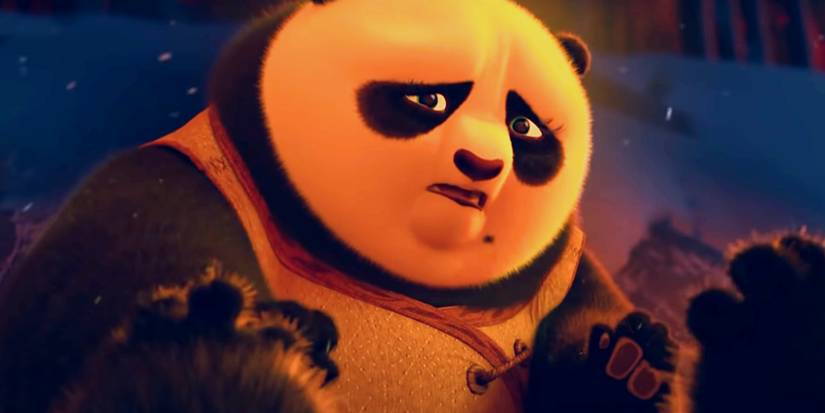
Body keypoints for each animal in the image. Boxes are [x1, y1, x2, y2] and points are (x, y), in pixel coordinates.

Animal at [0, 0, 684, 412]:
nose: (483, 166)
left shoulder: (559, 270)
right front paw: (233, 343)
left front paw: (625, 366)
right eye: (431, 99)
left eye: (525, 125)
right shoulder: (174, 192)